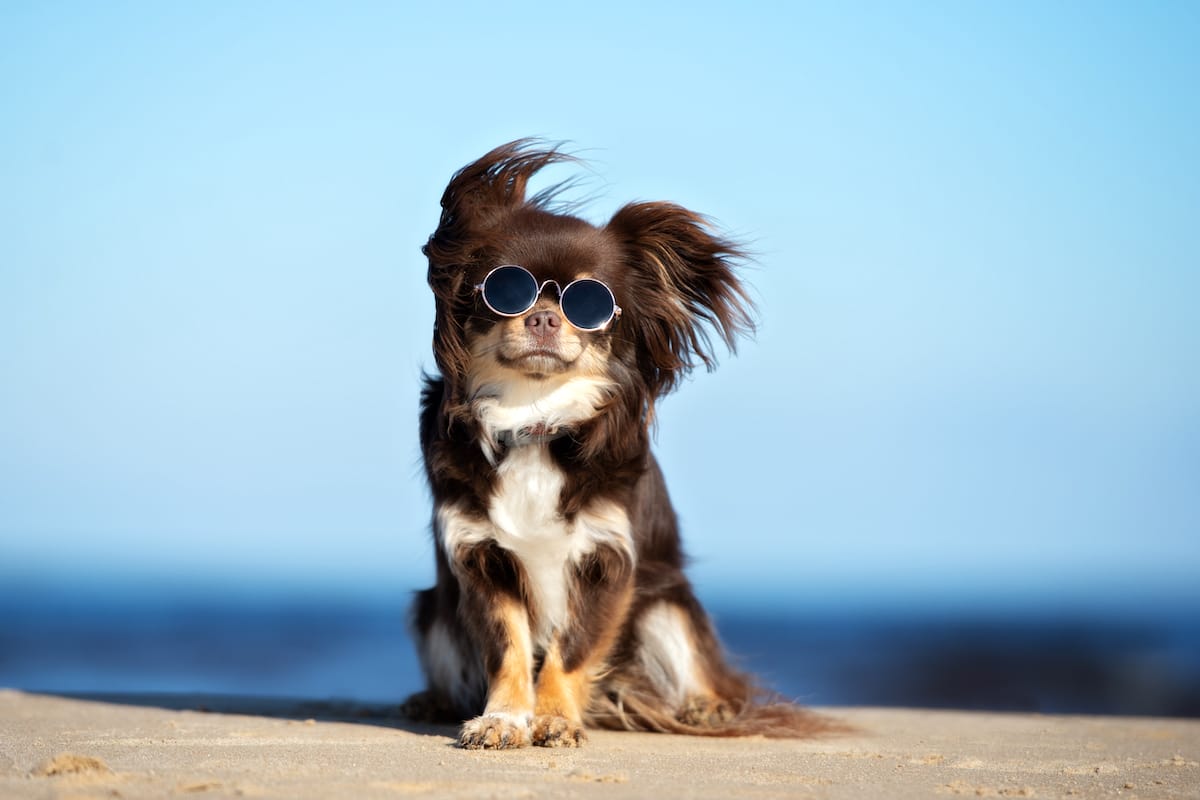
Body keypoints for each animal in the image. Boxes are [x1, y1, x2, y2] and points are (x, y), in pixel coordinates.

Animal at [403, 140, 835, 748]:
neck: (536, 422)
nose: (543, 316)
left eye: (591, 303)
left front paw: (555, 718)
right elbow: (508, 649)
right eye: (503, 291)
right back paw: (433, 700)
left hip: (667, 604)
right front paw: (505, 718)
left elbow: (571, 649)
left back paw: (705, 707)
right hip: (431, 612)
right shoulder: (481, 558)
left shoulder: (608, 562)